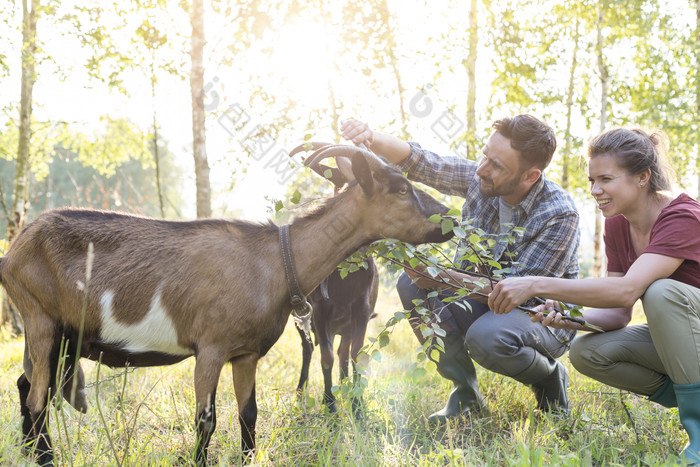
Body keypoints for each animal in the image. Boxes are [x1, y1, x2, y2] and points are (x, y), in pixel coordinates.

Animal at [4, 147, 454, 467]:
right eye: (400, 188)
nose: (447, 218)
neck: (276, 260)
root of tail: (14, 251)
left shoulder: (245, 353)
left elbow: (248, 415)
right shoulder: (210, 349)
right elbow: (207, 420)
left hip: (60, 336)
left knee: (25, 385)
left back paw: (27, 451)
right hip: (40, 319)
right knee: (38, 400)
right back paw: (44, 459)